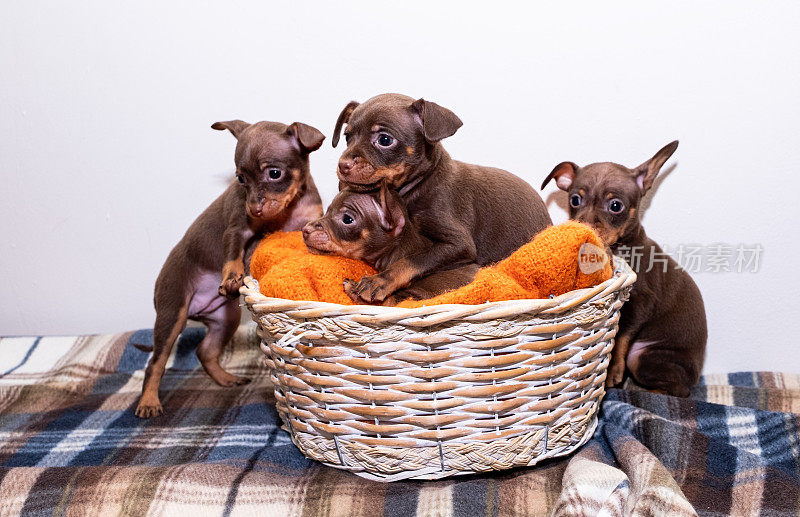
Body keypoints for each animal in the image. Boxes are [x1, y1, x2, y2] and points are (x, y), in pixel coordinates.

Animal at [135, 119, 324, 418]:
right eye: (241, 179)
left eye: (274, 173)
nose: (255, 209)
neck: (287, 211)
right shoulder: (238, 229)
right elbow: (235, 254)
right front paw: (233, 276)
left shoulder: (308, 220)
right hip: (172, 312)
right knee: (157, 361)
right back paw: (149, 401)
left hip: (225, 321)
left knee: (204, 351)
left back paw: (225, 378)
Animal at [544, 140, 708, 396]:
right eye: (574, 200)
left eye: (615, 205)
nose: (584, 228)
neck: (620, 247)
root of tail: (696, 374)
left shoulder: (641, 302)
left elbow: (621, 336)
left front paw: (613, 371)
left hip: (643, 357)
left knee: (678, 391)